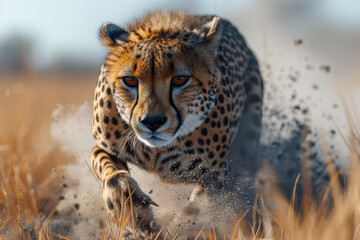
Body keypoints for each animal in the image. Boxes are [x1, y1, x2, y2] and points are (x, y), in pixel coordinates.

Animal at [90, 10, 262, 236]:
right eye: (130, 80)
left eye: (180, 79)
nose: (152, 122)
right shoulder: (106, 147)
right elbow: (108, 170)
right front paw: (132, 212)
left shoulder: (215, 177)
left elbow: (196, 212)